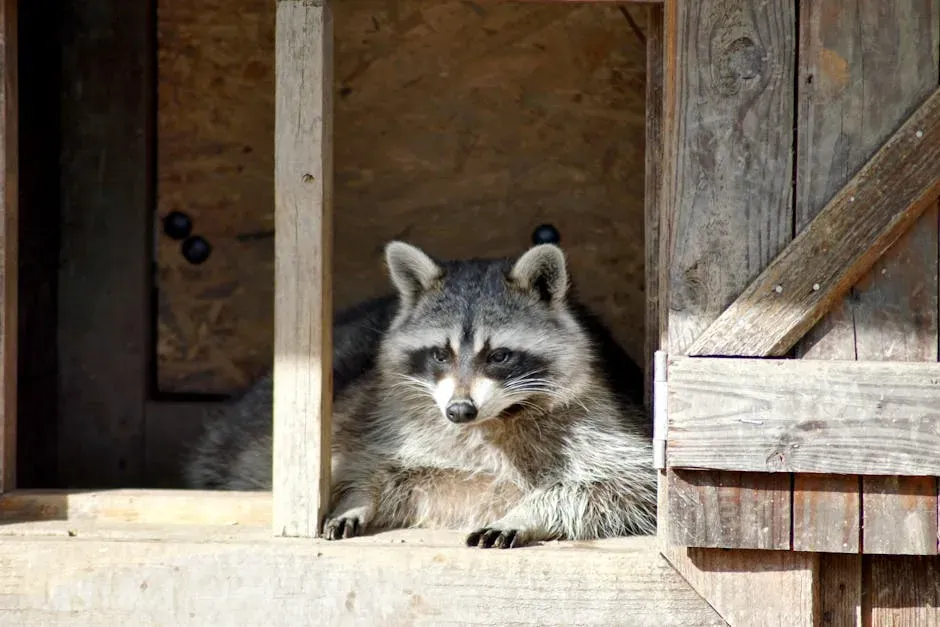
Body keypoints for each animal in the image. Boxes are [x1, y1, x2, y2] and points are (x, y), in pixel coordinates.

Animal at [183, 241, 657, 548]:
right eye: (440, 354)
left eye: (499, 356)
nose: (460, 410)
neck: (490, 421)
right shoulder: (381, 417)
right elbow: (369, 467)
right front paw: (358, 497)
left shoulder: (603, 422)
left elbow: (621, 487)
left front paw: (528, 512)